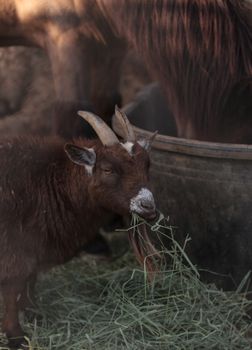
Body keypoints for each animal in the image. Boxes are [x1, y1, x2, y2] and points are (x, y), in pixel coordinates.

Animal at [0, 108, 157, 348]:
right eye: (107, 169)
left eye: (147, 164)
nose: (148, 206)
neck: (48, 182)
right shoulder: (15, 251)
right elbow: (12, 290)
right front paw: (16, 337)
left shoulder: (35, 248)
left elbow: (30, 283)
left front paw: (35, 314)